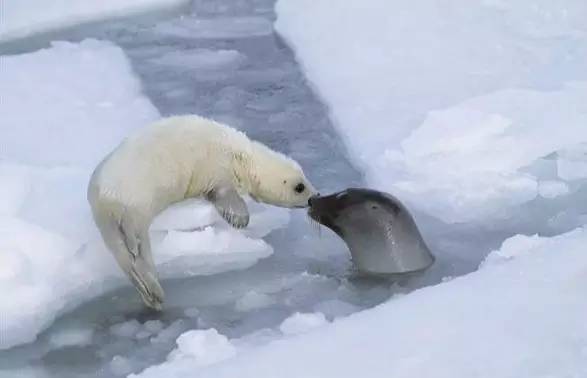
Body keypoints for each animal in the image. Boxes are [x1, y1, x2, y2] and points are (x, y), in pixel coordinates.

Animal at [88, 115, 316, 310]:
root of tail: (103, 195)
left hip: (112, 220)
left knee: (126, 255)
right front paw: (240, 219)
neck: (242, 156)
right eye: (300, 187)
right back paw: (153, 290)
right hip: (133, 202)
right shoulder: (218, 170)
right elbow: (224, 194)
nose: (315, 197)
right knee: (133, 243)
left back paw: (151, 293)